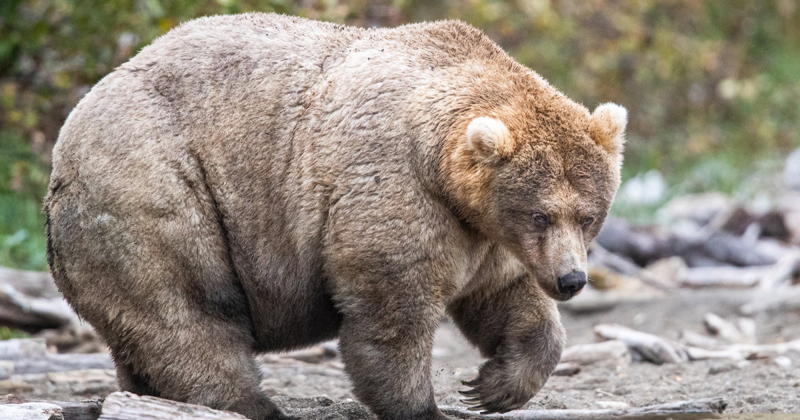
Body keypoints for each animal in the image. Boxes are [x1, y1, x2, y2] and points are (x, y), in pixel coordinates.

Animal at [45, 13, 624, 420]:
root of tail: (68, 133)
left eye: (588, 216)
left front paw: (492, 386)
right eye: (541, 215)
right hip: (156, 191)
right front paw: (424, 405)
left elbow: (505, 298)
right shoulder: (395, 189)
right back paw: (254, 406)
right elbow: (392, 312)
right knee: (187, 312)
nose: (571, 280)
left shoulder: (484, 234)